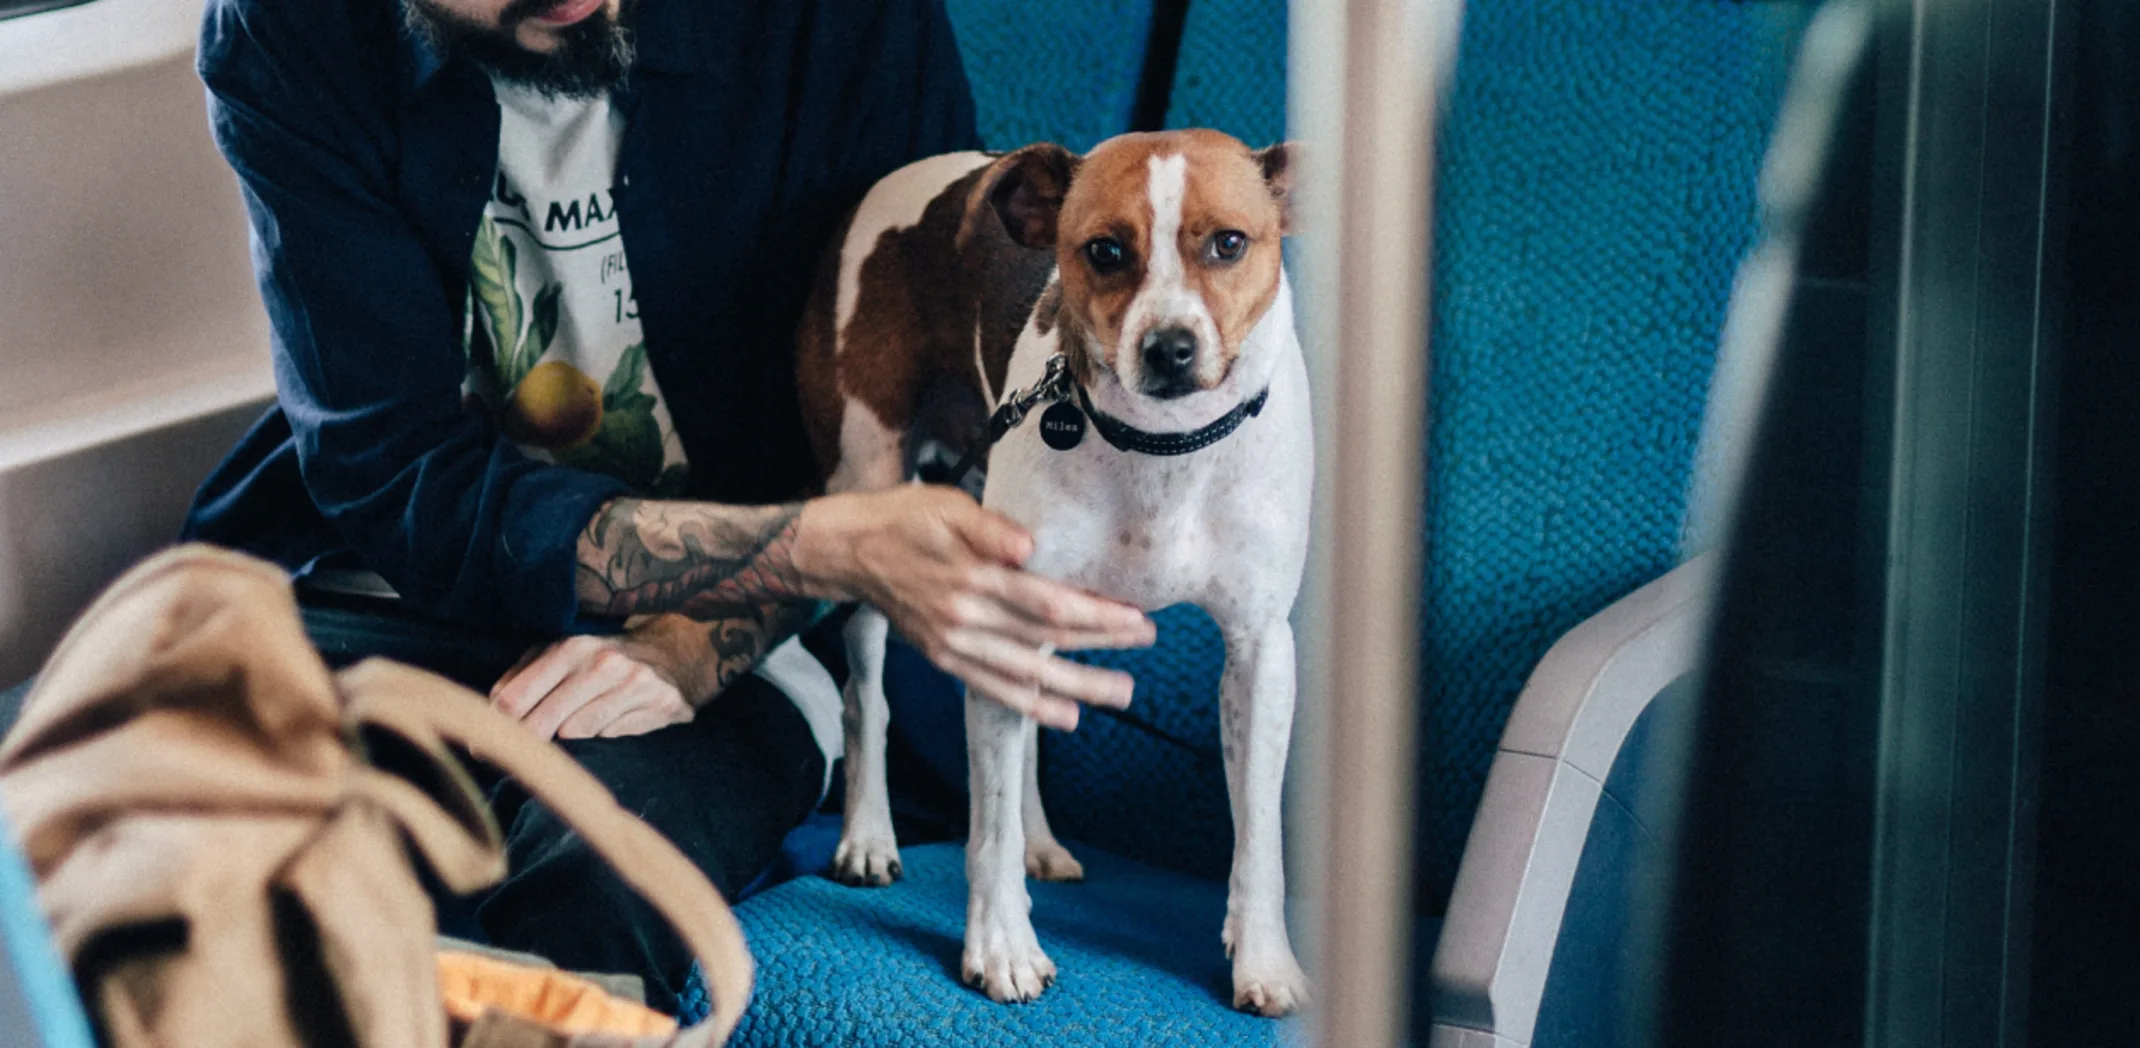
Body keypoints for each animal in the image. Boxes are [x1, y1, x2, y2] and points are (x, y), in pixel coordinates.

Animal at [796, 128, 1309, 1013]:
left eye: (1229, 243)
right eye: (1104, 250)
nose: (1169, 348)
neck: (1163, 448)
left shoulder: (1260, 651)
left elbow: (1259, 835)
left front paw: (1263, 959)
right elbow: (988, 825)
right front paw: (1002, 946)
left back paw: (1040, 842)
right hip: (869, 497)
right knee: (868, 697)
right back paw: (866, 833)